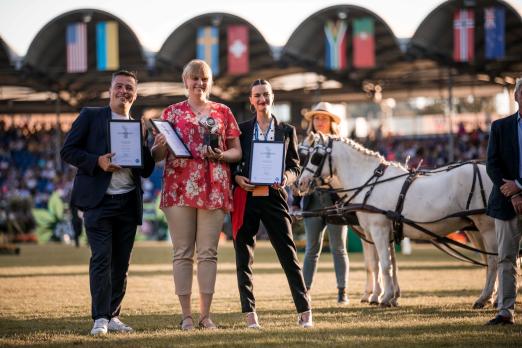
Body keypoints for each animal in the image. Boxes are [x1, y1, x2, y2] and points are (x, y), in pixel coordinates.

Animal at [296, 136, 496, 308]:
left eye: (315, 157)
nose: (299, 183)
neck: (369, 183)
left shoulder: (379, 230)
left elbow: (383, 264)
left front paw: (383, 298)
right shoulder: (379, 232)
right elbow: (386, 264)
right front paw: (390, 296)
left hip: (486, 226)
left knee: (495, 260)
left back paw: (485, 298)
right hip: (473, 228)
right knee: (489, 259)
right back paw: (490, 298)